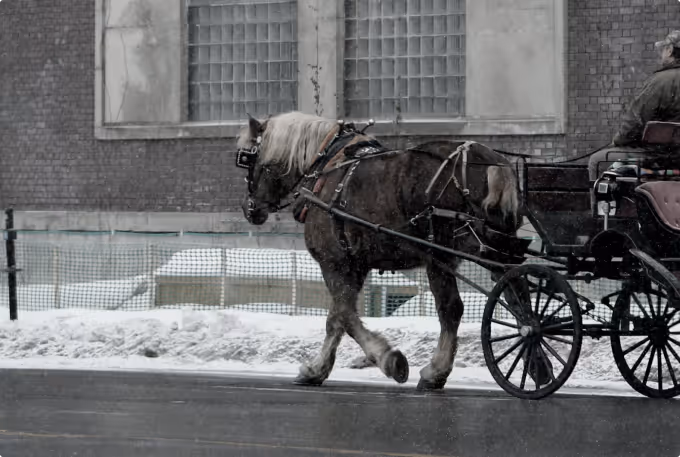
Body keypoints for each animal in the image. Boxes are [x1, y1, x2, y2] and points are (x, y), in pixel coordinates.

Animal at [236, 111, 523, 389]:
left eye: (246, 158)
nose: (249, 209)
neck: (324, 167)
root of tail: (487, 161)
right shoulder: (356, 265)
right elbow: (336, 319)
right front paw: (317, 370)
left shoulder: (334, 262)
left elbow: (344, 315)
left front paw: (389, 360)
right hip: (496, 249)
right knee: (516, 295)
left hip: (442, 255)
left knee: (452, 309)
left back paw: (435, 372)